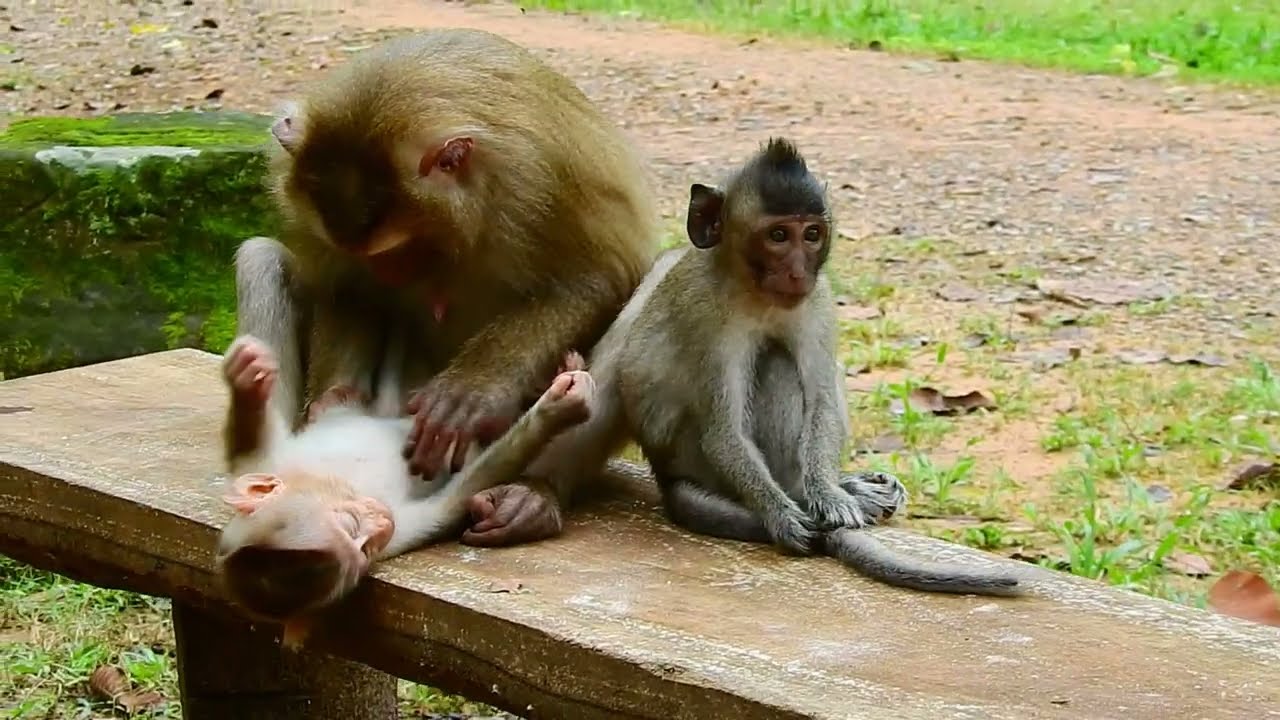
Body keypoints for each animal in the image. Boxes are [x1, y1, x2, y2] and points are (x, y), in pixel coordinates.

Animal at [214, 330, 596, 648]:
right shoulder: (399, 531)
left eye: (352, 524)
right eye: (364, 550)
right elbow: (454, 501)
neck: (340, 481)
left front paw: (246, 377)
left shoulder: (271, 466)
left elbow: (248, 453)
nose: (381, 522)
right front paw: (556, 412)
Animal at [246, 27, 660, 549]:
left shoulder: (543, 174)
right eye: (374, 255)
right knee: (260, 253)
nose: (390, 273)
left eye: (405, 246)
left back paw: (531, 496)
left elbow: (598, 279)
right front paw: (332, 402)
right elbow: (347, 290)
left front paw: (470, 392)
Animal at [530, 137, 1021, 596]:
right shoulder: (706, 317)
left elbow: (821, 401)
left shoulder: (816, 301)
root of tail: (668, 476)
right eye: (779, 236)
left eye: (812, 234)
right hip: (698, 463)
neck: (754, 291)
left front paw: (829, 496)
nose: (798, 271)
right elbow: (723, 429)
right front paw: (781, 514)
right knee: (774, 366)